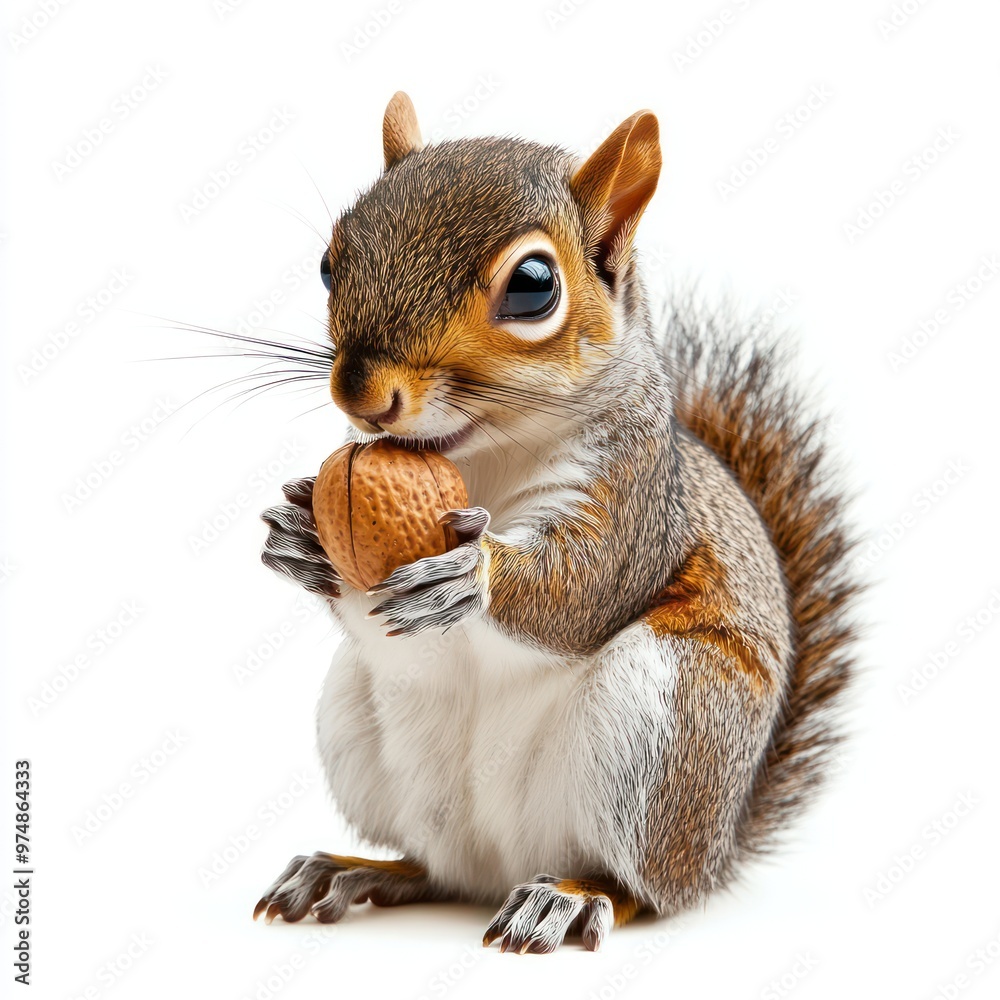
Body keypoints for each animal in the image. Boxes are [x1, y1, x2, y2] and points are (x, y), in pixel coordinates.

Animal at [252, 91, 860, 954]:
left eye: (534, 286)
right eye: (331, 262)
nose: (362, 394)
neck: (482, 457)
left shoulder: (632, 501)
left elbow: (582, 591)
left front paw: (471, 573)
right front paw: (299, 539)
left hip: (667, 725)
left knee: (637, 886)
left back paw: (569, 897)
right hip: (358, 725)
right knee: (432, 866)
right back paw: (354, 870)